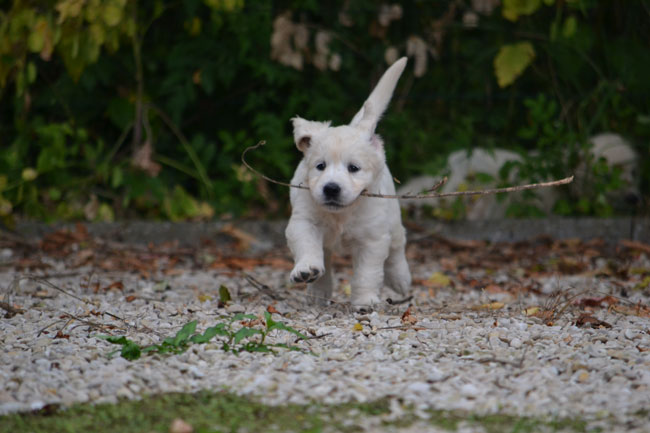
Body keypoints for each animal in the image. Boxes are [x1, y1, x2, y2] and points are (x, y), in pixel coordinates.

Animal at [284, 58, 410, 308]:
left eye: (353, 168)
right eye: (320, 166)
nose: (331, 188)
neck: (341, 215)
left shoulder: (372, 239)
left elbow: (367, 273)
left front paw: (365, 300)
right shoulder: (304, 222)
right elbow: (307, 247)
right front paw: (306, 270)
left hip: (392, 219)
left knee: (397, 248)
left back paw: (400, 279)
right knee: (325, 259)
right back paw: (317, 292)